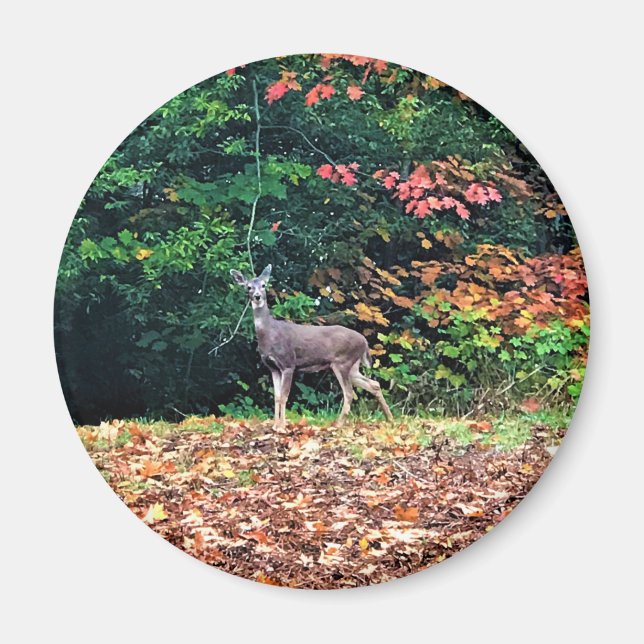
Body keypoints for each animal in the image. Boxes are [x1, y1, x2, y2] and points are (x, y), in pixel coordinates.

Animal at [230, 264, 393, 429]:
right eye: (248, 287)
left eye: (264, 285)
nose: (257, 296)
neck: (270, 333)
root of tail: (364, 342)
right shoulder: (273, 368)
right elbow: (276, 397)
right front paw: (275, 425)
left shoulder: (288, 363)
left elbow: (284, 396)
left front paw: (282, 427)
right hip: (352, 366)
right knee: (374, 384)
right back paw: (389, 418)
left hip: (343, 362)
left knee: (349, 393)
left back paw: (338, 424)